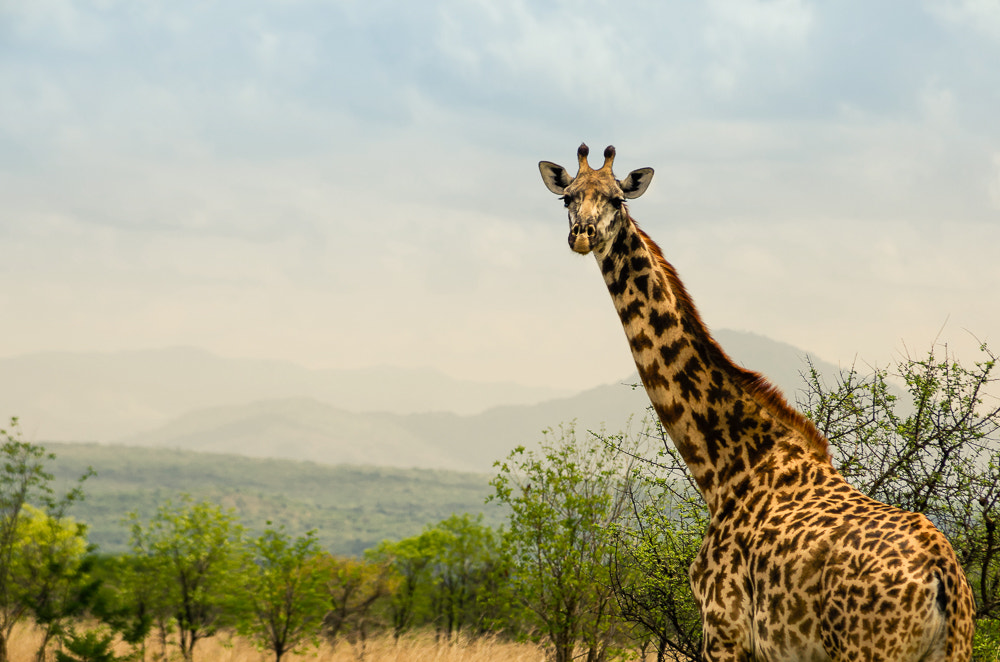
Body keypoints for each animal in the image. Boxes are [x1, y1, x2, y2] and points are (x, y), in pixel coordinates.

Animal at [544, 147, 972, 662]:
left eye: (616, 199)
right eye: (568, 197)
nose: (582, 234)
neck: (725, 467)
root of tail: (946, 579)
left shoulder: (724, 629)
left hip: (869, 650)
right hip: (953, 647)